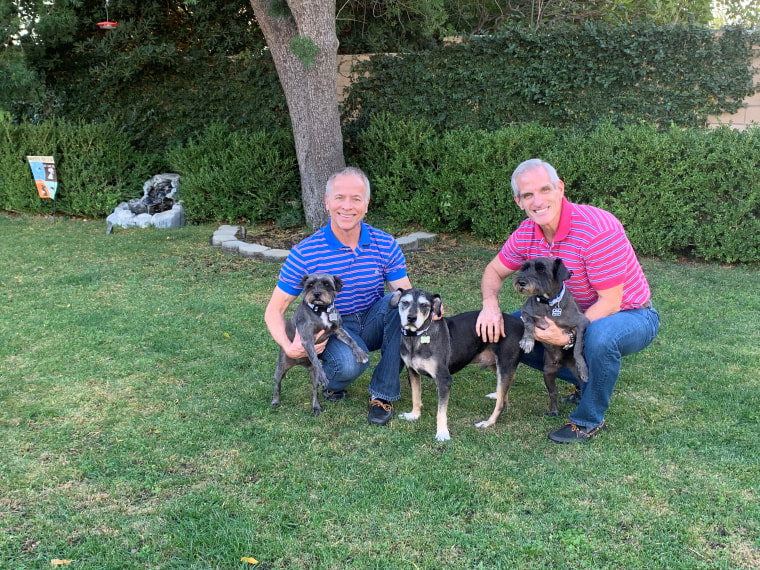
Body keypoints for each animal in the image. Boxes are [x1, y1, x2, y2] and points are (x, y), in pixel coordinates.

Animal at [274, 270, 368, 412]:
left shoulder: (338, 330)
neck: (321, 310)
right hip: (282, 367)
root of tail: (300, 363)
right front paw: (323, 376)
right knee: (277, 384)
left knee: (314, 390)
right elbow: (316, 360)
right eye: (310, 285)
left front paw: (360, 353)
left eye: (327, 284)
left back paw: (316, 406)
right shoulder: (307, 339)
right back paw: (275, 401)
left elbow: (351, 340)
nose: (317, 294)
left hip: (313, 376)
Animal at [512, 256, 592, 412]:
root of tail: (561, 363)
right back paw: (554, 411)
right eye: (524, 268)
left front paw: (583, 366)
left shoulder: (582, 323)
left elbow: (578, 347)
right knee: (553, 392)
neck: (548, 303)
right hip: (548, 373)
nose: (521, 282)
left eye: (541, 270)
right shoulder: (526, 313)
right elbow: (529, 325)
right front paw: (527, 341)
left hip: (573, 374)